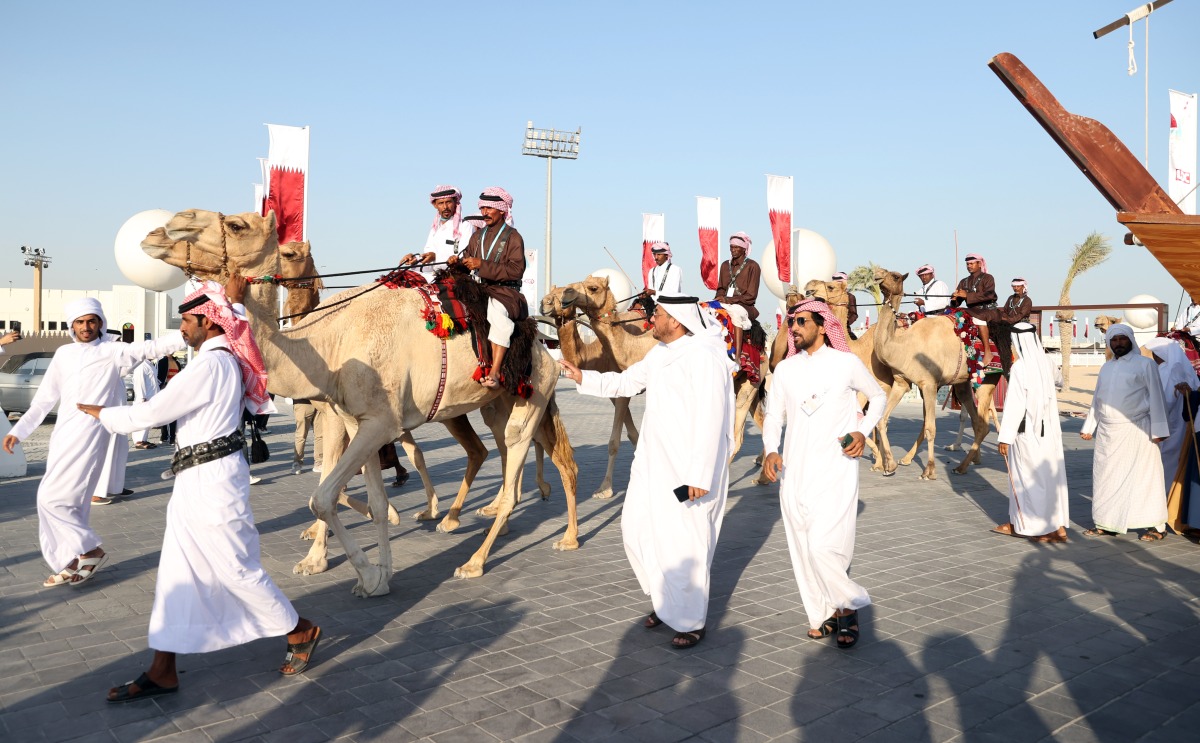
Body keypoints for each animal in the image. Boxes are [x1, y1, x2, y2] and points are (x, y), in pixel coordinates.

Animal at [140, 211, 580, 597]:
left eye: (235, 225)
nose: (163, 229)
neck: (327, 341)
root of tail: (543, 346)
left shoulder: (376, 423)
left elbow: (322, 496)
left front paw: (364, 572)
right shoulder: (357, 419)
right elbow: (367, 496)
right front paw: (376, 571)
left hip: (532, 395)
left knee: (525, 455)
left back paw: (490, 555)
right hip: (498, 403)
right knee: (504, 452)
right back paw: (486, 521)